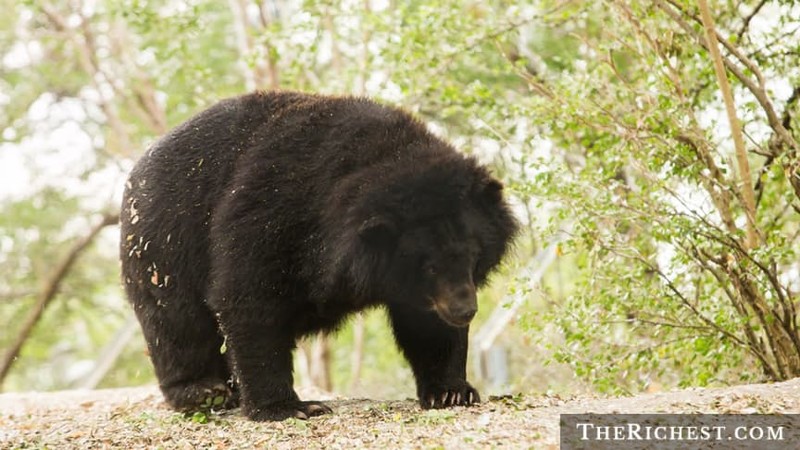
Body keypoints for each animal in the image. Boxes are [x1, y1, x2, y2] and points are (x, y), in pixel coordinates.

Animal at [120, 91, 520, 422]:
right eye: (428, 266)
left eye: (473, 255)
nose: (465, 310)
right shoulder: (270, 210)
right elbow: (248, 296)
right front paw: (289, 407)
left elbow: (427, 327)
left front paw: (451, 391)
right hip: (164, 245)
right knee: (177, 322)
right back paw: (204, 392)